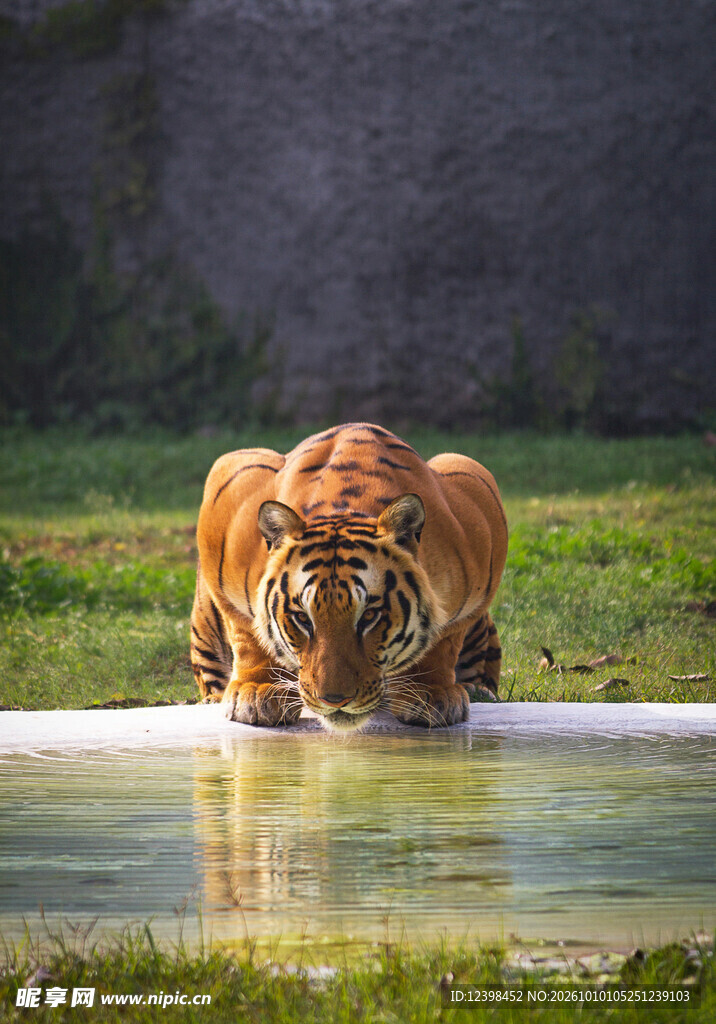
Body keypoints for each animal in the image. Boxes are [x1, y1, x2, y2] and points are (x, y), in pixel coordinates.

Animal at [191, 423, 507, 731]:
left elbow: (444, 639)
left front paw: (431, 692)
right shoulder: (229, 485)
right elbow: (247, 631)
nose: (334, 700)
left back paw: (477, 690)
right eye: (302, 618)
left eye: (369, 616)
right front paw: (257, 691)